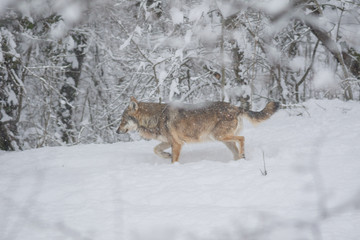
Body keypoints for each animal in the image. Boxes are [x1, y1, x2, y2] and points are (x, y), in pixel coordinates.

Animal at [116, 97, 280, 163]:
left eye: (123, 120)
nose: (117, 131)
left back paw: (243, 154)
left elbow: (173, 160)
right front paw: (166, 155)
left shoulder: (177, 144)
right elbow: (156, 150)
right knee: (237, 149)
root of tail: (236, 107)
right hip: (224, 140)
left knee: (243, 138)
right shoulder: (170, 142)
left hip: (219, 137)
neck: (155, 117)